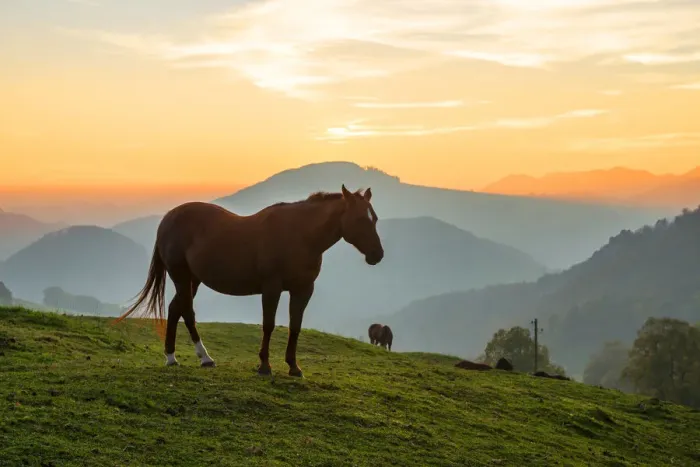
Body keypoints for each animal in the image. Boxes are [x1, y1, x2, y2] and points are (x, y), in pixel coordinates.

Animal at [113, 185, 384, 377]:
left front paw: (294, 367)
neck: (299, 236)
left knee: (175, 309)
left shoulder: (303, 290)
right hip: (181, 275)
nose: (377, 255)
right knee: (187, 312)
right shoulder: (271, 287)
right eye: (360, 219)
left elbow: (295, 326)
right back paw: (205, 358)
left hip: (193, 279)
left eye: (375, 218)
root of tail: (169, 218)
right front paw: (264, 366)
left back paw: (171, 357)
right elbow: (269, 324)